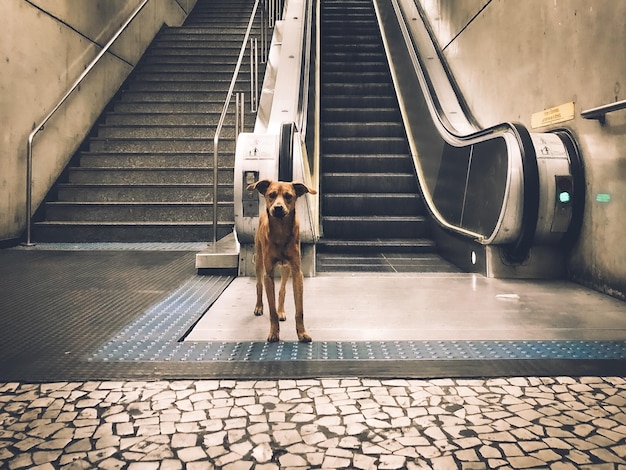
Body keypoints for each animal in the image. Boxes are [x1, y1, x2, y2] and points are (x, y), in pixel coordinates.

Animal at [246, 179, 316, 342]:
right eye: (271, 195)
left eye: (288, 196)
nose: (277, 208)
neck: (280, 232)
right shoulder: (268, 274)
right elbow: (271, 311)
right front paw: (274, 333)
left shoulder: (297, 272)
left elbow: (299, 310)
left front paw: (302, 333)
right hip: (259, 261)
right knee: (259, 284)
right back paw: (259, 307)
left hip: (286, 268)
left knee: (282, 289)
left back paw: (281, 311)